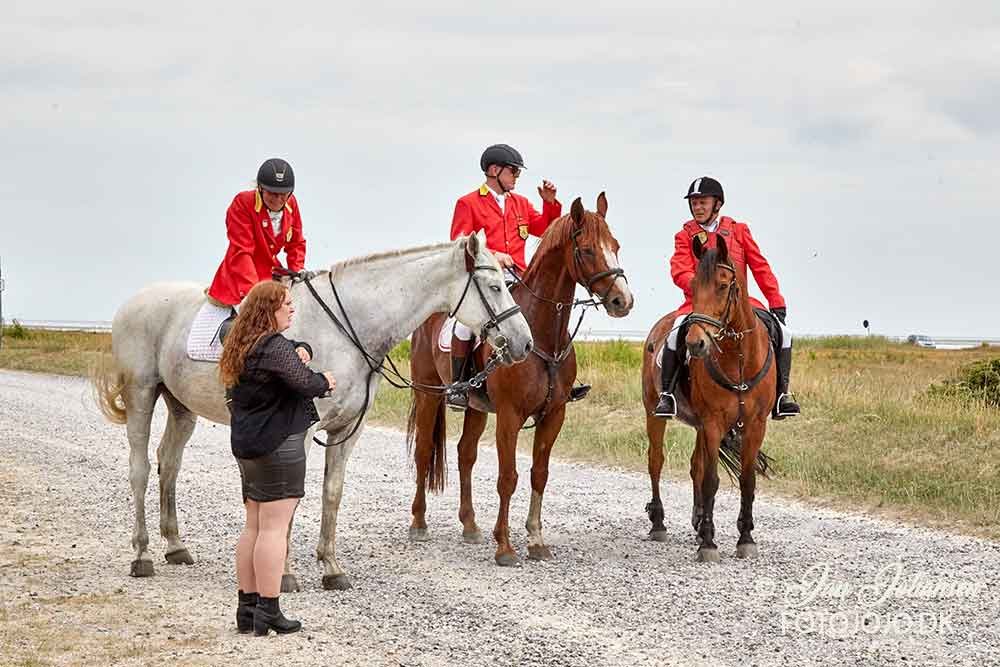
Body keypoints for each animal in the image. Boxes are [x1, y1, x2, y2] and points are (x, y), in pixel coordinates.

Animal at [93, 232, 534, 591]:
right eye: (495, 286)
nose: (524, 344)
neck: (345, 328)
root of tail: (133, 301)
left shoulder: (345, 432)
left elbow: (331, 493)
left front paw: (331, 568)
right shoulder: (299, 432)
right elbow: (290, 498)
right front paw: (284, 574)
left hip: (181, 406)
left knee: (169, 463)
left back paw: (175, 546)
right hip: (142, 394)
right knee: (140, 469)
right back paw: (142, 555)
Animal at [406, 194, 634, 566]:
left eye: (615, 246)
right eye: (587, 250)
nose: (622, 301)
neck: (542, 338)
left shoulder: (554, 414)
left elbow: (539, 474)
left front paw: (536, 540)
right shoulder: (510, 416)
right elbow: (507, 477)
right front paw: (505, 546)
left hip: (476, 408)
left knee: (465, 454)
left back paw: (470, 526)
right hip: (428, 394)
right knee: (424, 451)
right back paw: (419, 522)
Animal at [640, 234, 774, 562]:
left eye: (724, 286)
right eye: (693, 287)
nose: (695, 343)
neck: (738, 358)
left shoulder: (755, 424)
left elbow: (746, 479)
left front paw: (745, 538)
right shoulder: (713, 422)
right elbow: (711, 480)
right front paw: (709, 544)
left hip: (700, 426)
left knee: (695, 466)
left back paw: (699, 520)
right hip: (655, 413)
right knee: (656, 461)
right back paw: (659, 523)